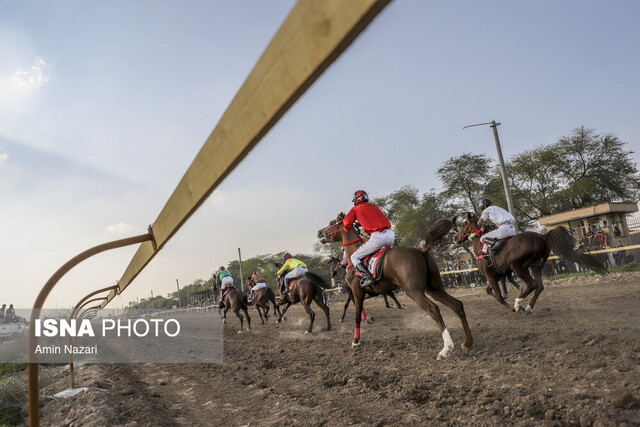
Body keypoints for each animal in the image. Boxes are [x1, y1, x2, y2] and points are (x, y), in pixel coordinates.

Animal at [318, 212, 472, 360]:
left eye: (331, 223)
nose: (320, 232)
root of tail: (421, 250)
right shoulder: (370, 292)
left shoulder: (356, 292)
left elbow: (356, 314)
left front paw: (356, 341)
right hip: (434, 289)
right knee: (456, 305)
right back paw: (467, 342)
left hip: (414, 291)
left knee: (433, 309)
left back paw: (446, 348)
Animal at [452, 214, 608, 314]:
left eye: (463, 225)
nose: (455, 237)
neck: (482, 246)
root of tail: (541, 236)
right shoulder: (497, 275)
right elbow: (489, 290)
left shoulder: (491, 276)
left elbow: (498, 296)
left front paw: (512, 307)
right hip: (536, 265)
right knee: (539, 286)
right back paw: (527, 307)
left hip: (518, 266)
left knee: (532, 284)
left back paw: (518, 304)